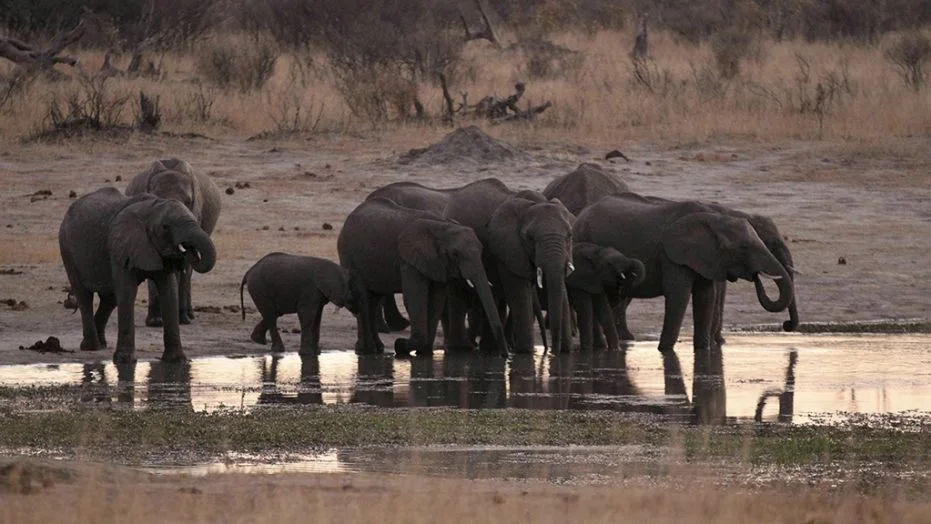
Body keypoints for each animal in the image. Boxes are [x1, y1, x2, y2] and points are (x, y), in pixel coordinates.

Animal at [59, 187, 217, 364]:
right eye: (165, 227)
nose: (188, 250)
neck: (153, 208)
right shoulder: (121, 246)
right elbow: (128, 291)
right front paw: (124, 361)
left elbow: (168, 292)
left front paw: (177, 361)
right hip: (66, 248)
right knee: (84, 296)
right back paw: (91, 346)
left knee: (110, 299)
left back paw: (101, 344)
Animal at [337, 197, 507, 357]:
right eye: (455, 254)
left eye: (481, 251)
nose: (504, 355)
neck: (443, 226)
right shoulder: (408, 259)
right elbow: (415, 298)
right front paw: (400, 346)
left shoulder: (438, 262)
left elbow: (436, 300)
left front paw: (424, 353)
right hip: (348, 255)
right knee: (363, 298)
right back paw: (366, 351)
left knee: (374, 299)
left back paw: (376, 349)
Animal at [444, 178, 575, 354]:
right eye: (530, 237)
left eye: (569, 235)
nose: (552, 350)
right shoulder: (507, 247)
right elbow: (519, 293)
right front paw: (526, 352)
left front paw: (566, 351)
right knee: (458, 292)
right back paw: (463, 349)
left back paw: (491, 349)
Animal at [573, 193, 794, 356]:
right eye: (743, 248)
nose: (787, 325)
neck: (716, 218)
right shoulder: (673, 255)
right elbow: (679, 295)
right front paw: (664, 351)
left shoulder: (707, 257)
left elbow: (706, 296)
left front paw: (703, 351)